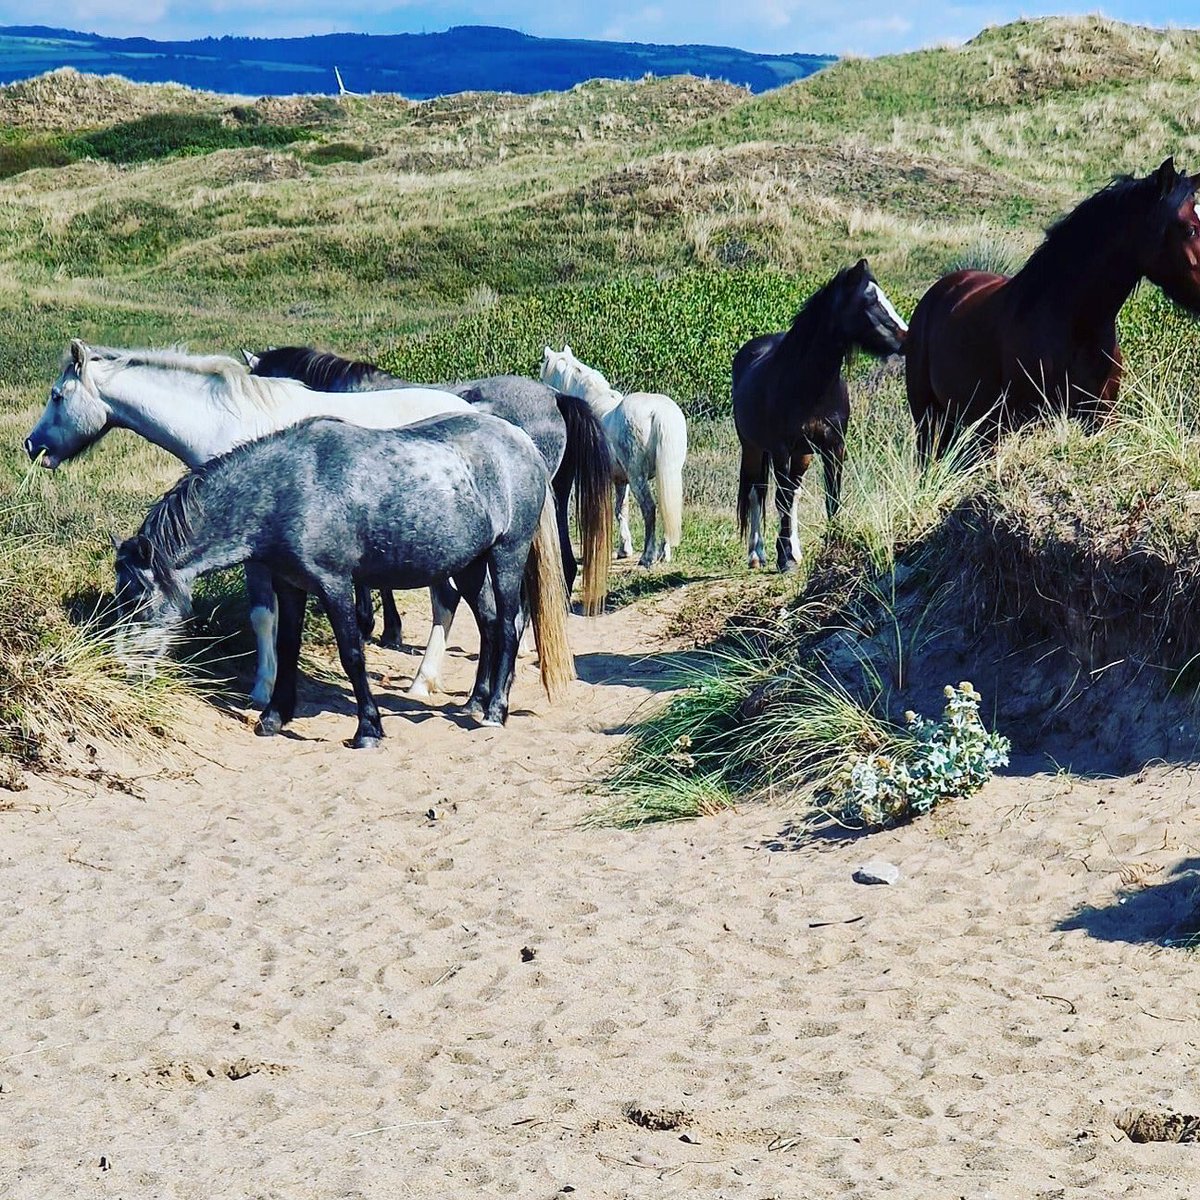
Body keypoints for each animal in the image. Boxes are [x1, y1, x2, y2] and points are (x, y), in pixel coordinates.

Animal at [26, 341, 476, 706]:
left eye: (57, 396)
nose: (32, 445)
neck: (224, 422)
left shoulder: (255, 553)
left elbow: (262, 615)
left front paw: (262, 690)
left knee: (447, 601)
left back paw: (424, 682)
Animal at [115, 415, 575, 747]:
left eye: (137, 598)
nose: (123, 669)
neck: (286, 488)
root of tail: (524, 443)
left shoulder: (334, 584)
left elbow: (353, 654)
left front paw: (368, 729)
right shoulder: (290, 585)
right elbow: (287, 646)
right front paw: (274, 718)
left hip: (507, 554)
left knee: (510, 627)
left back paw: (496, 711)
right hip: (469, 565)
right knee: (490, 624)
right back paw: (475, 702)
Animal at [539, 345, 688, 567]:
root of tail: (658, 413)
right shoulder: (620, 480)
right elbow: (620, 510)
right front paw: (624, 549)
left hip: (638, 477)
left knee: (649, 508)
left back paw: (647, 556)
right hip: (667, 475)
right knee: (666, 507)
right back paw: (663, 553)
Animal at [731, 259, 908, 572]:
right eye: (869, 301)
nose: (907, 336)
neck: (810, 386)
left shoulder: (833, 447)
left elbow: (831, 497)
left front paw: (832, 545)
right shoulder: (781, 450)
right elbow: (779, 499)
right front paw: (783, 559)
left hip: (804, 454)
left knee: (794, 494)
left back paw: (795, 550)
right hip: (752, 448)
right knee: (756, 492)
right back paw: (757, 553)